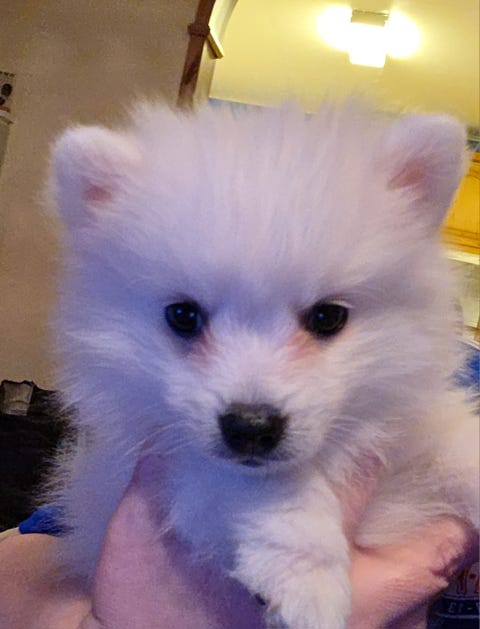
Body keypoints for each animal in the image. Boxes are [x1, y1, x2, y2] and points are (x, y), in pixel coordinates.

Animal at [47, 101, 479, 628]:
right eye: (183, 316)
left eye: (328, 317)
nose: (250, 426)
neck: (332, 451)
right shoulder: (177, 461)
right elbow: (273, 492)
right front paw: (310, 583)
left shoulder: (415, 428)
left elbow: (463, 450)